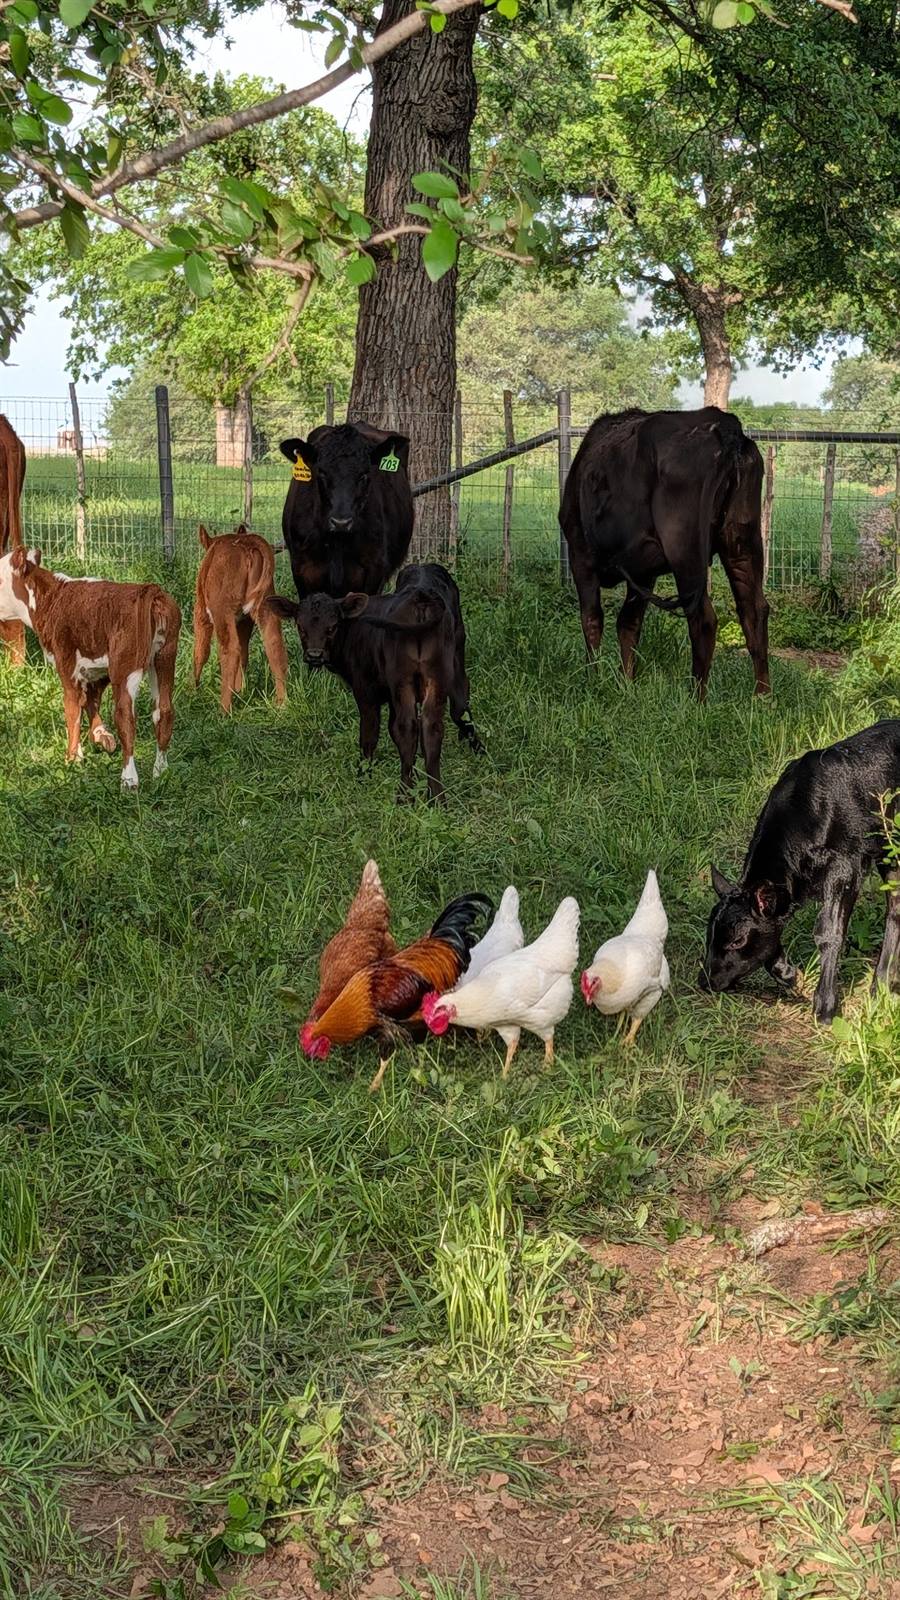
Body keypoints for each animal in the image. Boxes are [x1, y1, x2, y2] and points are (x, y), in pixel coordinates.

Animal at [0, 547, 181, 790]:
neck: (50, 599)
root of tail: (150, 590)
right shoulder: (97, 670)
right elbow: (90, 701)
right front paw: (102, 737)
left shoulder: (67, 666)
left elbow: (72, 709)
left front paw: (72, 759)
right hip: (164, 657)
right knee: (164, 711)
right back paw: (161, 772)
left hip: (125, 666)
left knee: (125, 716)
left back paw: (129, 780)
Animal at [193, 524, 288, 712]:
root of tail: (246, 542)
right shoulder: (244, 621)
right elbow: (244, 653)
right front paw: (239, 690)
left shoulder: (201, 613)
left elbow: (200, 651)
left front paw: (192, 690)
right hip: (265, 605)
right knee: (274, 645)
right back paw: (282, 703)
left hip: (221, 610)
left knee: (230, 649)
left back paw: (224, 709)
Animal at [266, 564, 483, 803]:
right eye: (301, 627)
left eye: (332, 626)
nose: (314, 655)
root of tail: (421, 597)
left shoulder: (366, 691)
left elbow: (369, 735)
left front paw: (363, 776)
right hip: (443, 672)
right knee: (442, 720)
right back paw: (438, 796)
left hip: (403, 680)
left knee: (408, 727)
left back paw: (404, 795)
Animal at [559, 406, 769, 698]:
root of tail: (726, 425)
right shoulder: (642, 572)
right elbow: (628, 623)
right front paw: (627, 684)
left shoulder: (581, 555)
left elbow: (592, 619)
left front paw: (593, 680)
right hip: (742, 541)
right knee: (754, 609)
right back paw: (762, 697)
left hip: (684, 549)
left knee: (703, 619)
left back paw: (696, 699)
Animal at [701, 720, 900, 1023]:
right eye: (710, 934)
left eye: (737, 941)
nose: (705, 981)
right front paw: (787, 973)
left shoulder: (845, 868)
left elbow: (828, 931)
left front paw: (825, 1006)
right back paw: (882, 985)